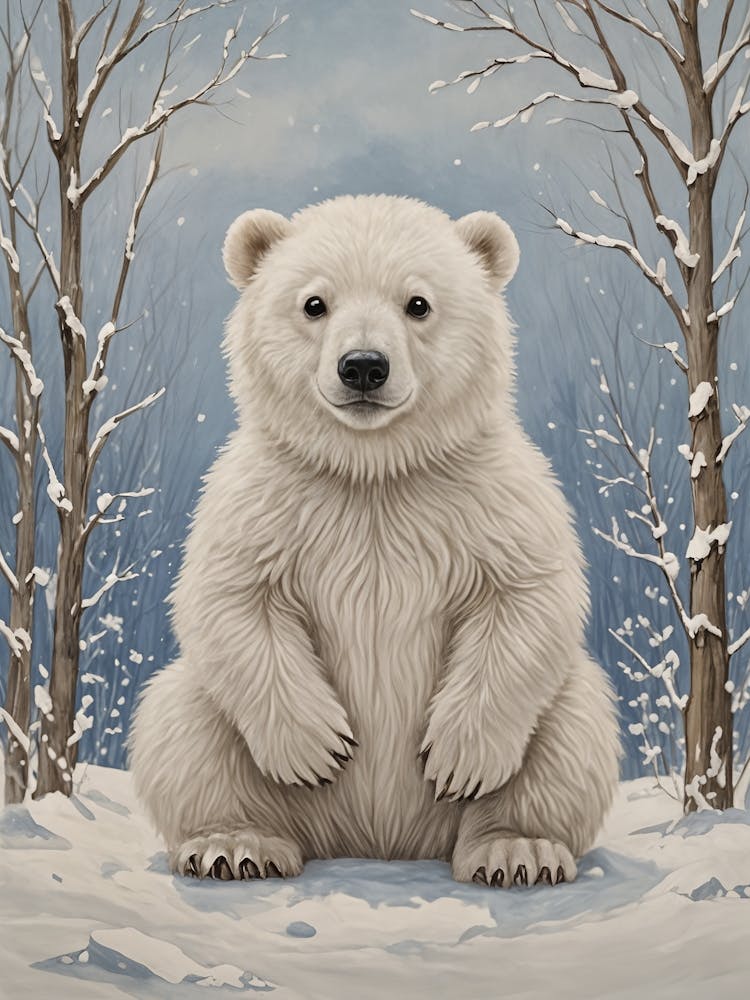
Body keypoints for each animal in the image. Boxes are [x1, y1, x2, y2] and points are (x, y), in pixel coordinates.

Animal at [130, 194, 620, 888]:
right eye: (314, 303)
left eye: (417, 303)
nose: (363, 366)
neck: (373, 474)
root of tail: (380, 843)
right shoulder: (264, 503)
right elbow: (229, 600)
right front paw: (318, 746)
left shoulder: (490, 500)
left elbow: (528, 597)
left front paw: (458, 758)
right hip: (210, 718)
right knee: (184, 728)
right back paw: (236, 843)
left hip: (557, 718)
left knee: (572, 732)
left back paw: (516, 850)